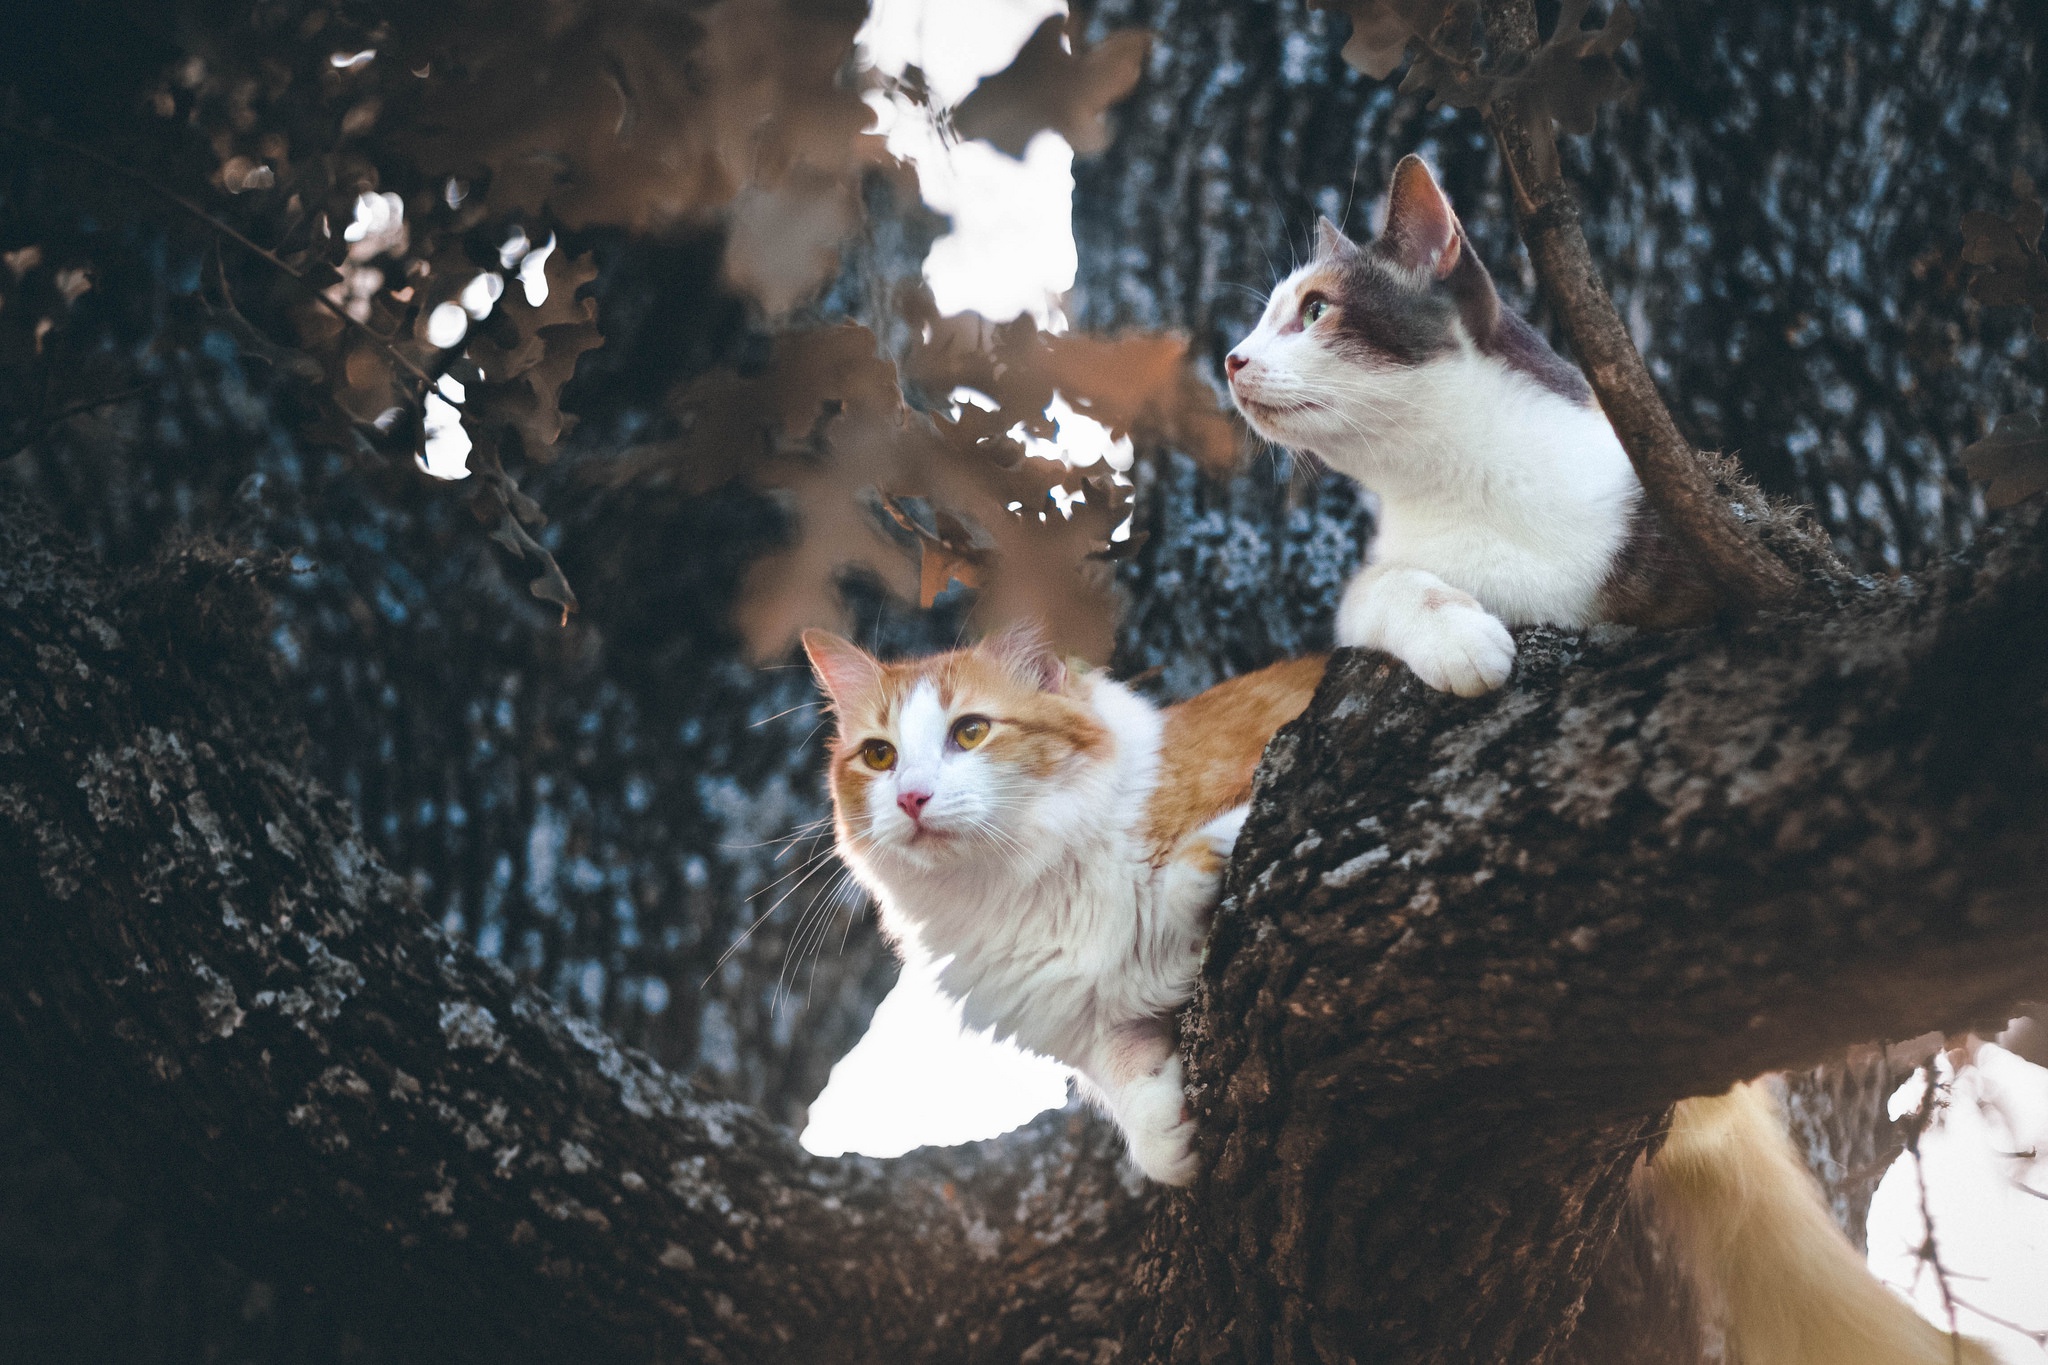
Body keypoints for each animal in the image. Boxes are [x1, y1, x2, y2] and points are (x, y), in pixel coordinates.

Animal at [802, 626, 1327, 1178]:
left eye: (970, 731)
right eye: (879, 755)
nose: (911, 798)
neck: (1025, 887)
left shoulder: (1281, 753)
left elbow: (1196, 864)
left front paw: (1198, 870)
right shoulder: (1093, 1017)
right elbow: (1124, 1072)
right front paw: (1162, 1135)